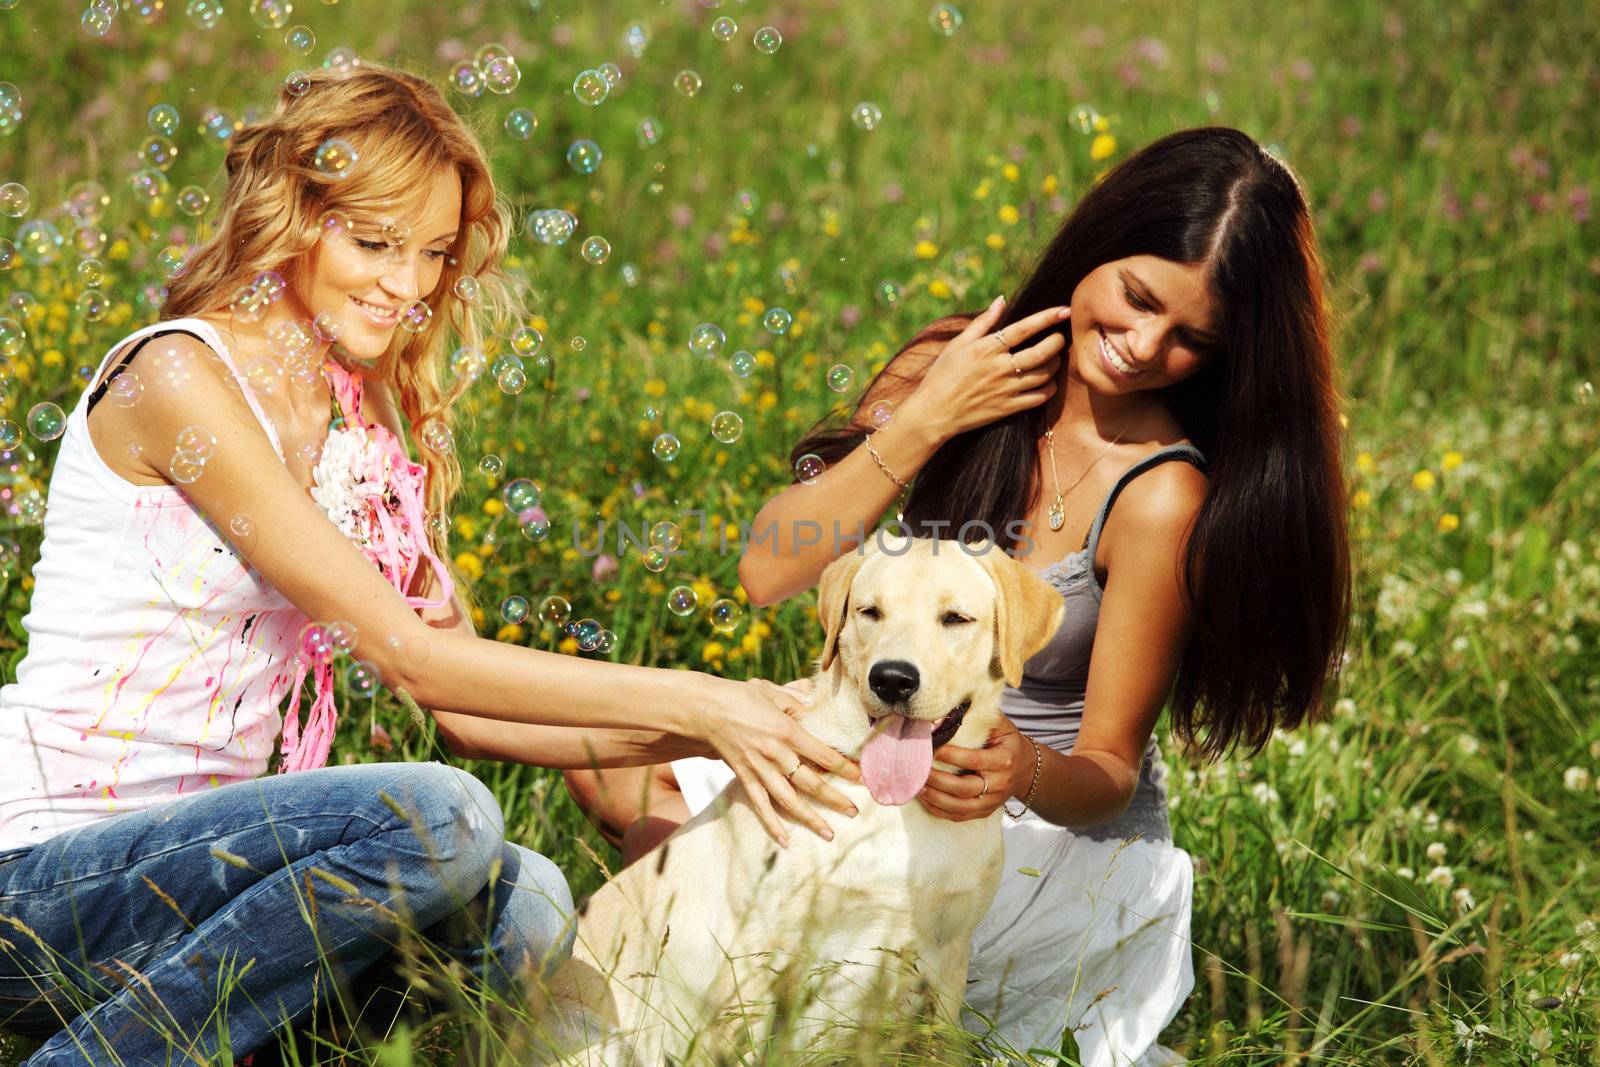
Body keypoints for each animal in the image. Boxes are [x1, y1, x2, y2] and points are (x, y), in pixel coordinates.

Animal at [531, 537, 1068, 1062]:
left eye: (955, 618)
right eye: (870, 612)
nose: (892, 679)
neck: (892, 809)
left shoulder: (948, 956)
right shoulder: (758, 959)